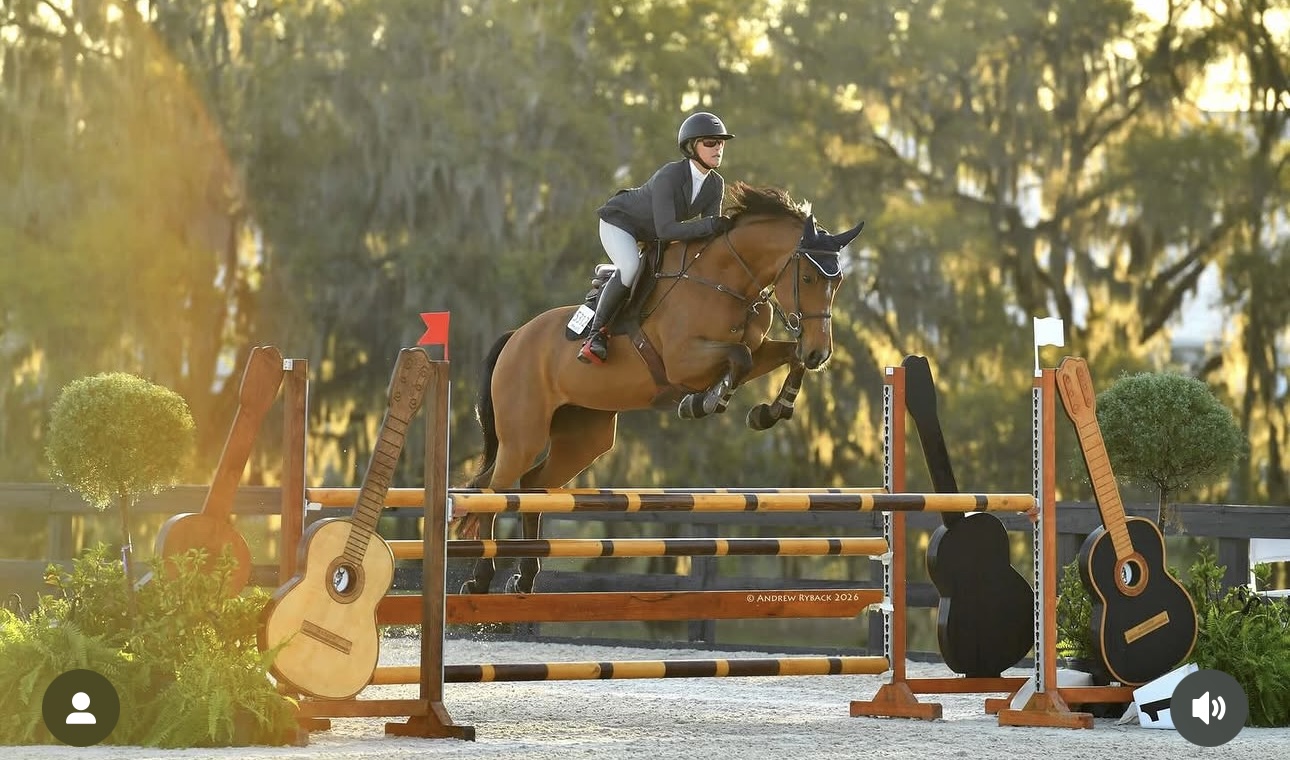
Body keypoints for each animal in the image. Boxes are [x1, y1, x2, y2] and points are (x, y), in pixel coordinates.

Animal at [457, 182, 865, 594]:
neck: (727, 279)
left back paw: (524, 578)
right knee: (496, 489)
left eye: (838, 281)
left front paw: (771, 411)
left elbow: (781, 357)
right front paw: (705, 401)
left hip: (582, 438)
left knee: (532, 485)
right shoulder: (683, 360)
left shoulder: (759, 348)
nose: (819, 351)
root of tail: (514, 337)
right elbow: (739, 358)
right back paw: (480, 580)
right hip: (523, 434)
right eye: (809, 278)